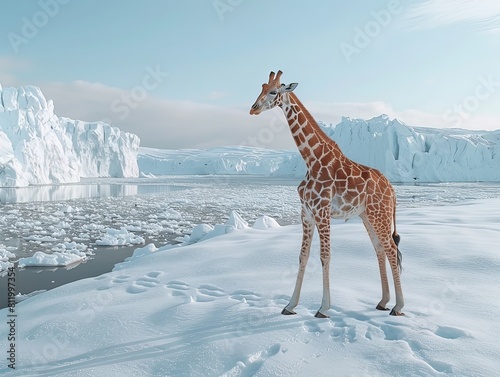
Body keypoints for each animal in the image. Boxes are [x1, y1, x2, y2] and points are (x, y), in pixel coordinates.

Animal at [248, 71, 404, 318]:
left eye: (273, 91)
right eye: (261, 88)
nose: (253, 108)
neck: (312, 160)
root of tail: (392, 189)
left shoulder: (322, 212)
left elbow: (324, 256)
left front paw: (323, 308)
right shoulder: (306, 213)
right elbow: (302, 256)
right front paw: (290, 306)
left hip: (380, 213)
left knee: (390, 248)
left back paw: (398, 307)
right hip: (367, 216)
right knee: (380, 249)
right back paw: (383, 301)